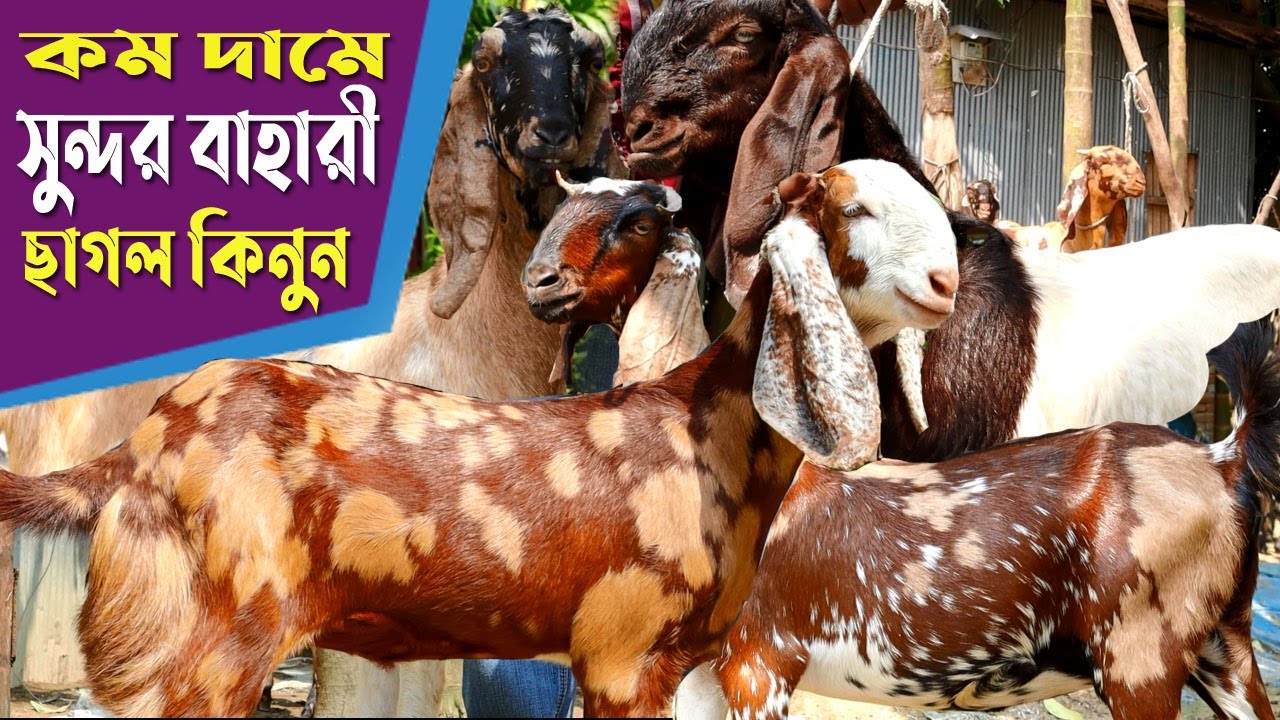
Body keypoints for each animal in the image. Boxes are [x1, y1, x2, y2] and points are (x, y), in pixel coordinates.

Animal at [0, 160, 955, 718]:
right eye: (855, 210)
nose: (947, 280)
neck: (703, 427)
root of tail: (143, 447)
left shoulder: (696, 663)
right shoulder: (624, 653)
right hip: (206, 639)